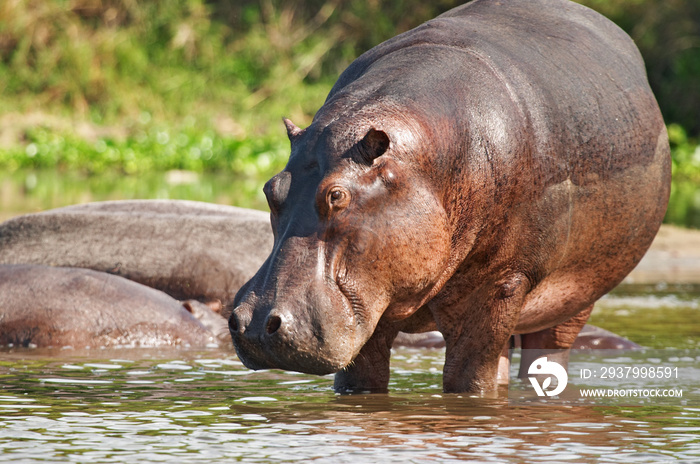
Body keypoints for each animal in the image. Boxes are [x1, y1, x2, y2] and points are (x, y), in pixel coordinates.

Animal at [231, 0, 672, 396]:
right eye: (270, 189)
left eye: (337, 195)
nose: (254, 324)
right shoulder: (371, 305)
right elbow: (361, 380)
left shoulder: (503, 284)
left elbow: (469, 381)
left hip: (571, 301)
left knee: (546, 354)